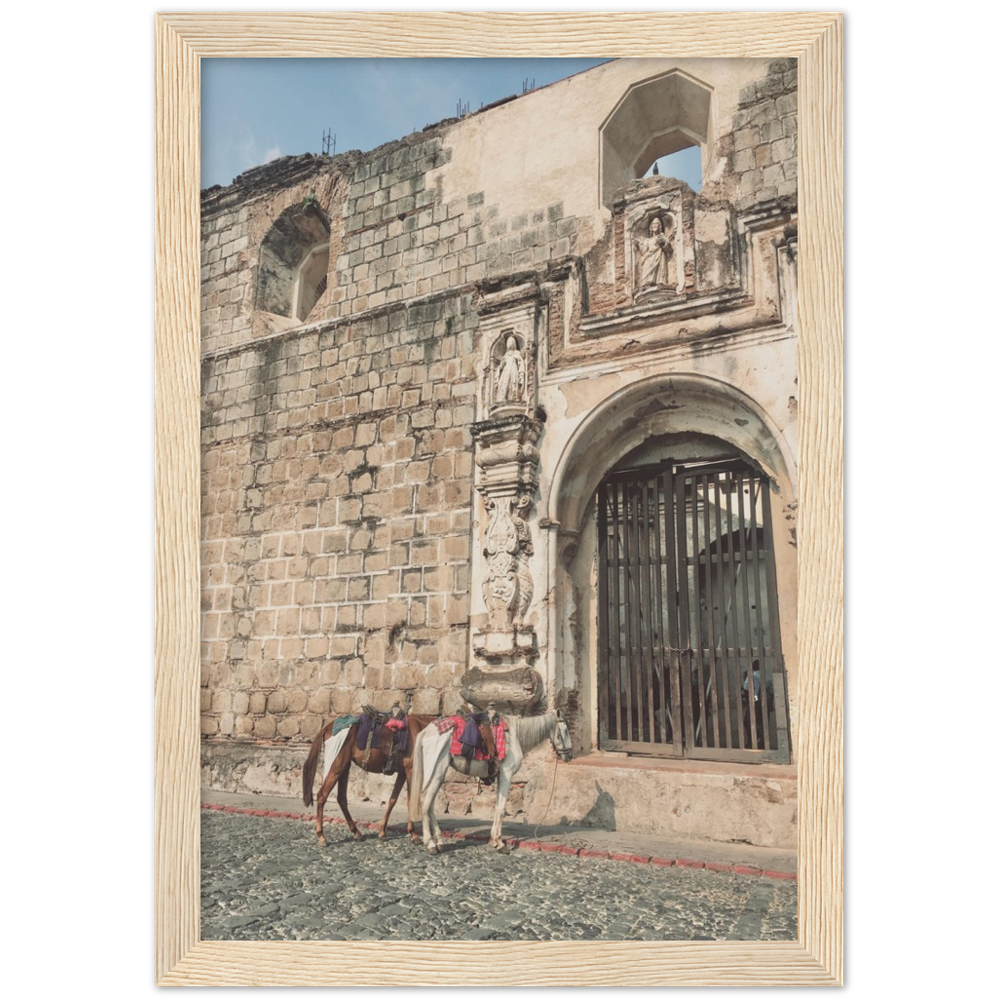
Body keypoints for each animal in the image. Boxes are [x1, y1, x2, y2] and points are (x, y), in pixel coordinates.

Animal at [298, 712, 436, 844]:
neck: (420, 729)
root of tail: (327, 727)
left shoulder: (402, 773)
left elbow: (392, 800)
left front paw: (382, 832)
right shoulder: (410, 771)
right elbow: (409, 801)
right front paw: (414, 835)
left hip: (344, 766)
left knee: (341, 798)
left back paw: (356, 833)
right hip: (337, 766)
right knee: (322, 795)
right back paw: (321, 836)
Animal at [406, 712, 572, 852]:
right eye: (565, 731)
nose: (569, 755)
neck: (515, 736)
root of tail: (425, 732)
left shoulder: (500, 777)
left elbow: (498, 807)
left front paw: (494, 840)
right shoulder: (506, 775)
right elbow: (502, 809)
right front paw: (500, 844)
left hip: (438, 775)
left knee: (430, 806)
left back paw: (439, 841)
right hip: (436, 772)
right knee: (425, 803)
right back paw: (431, 844)